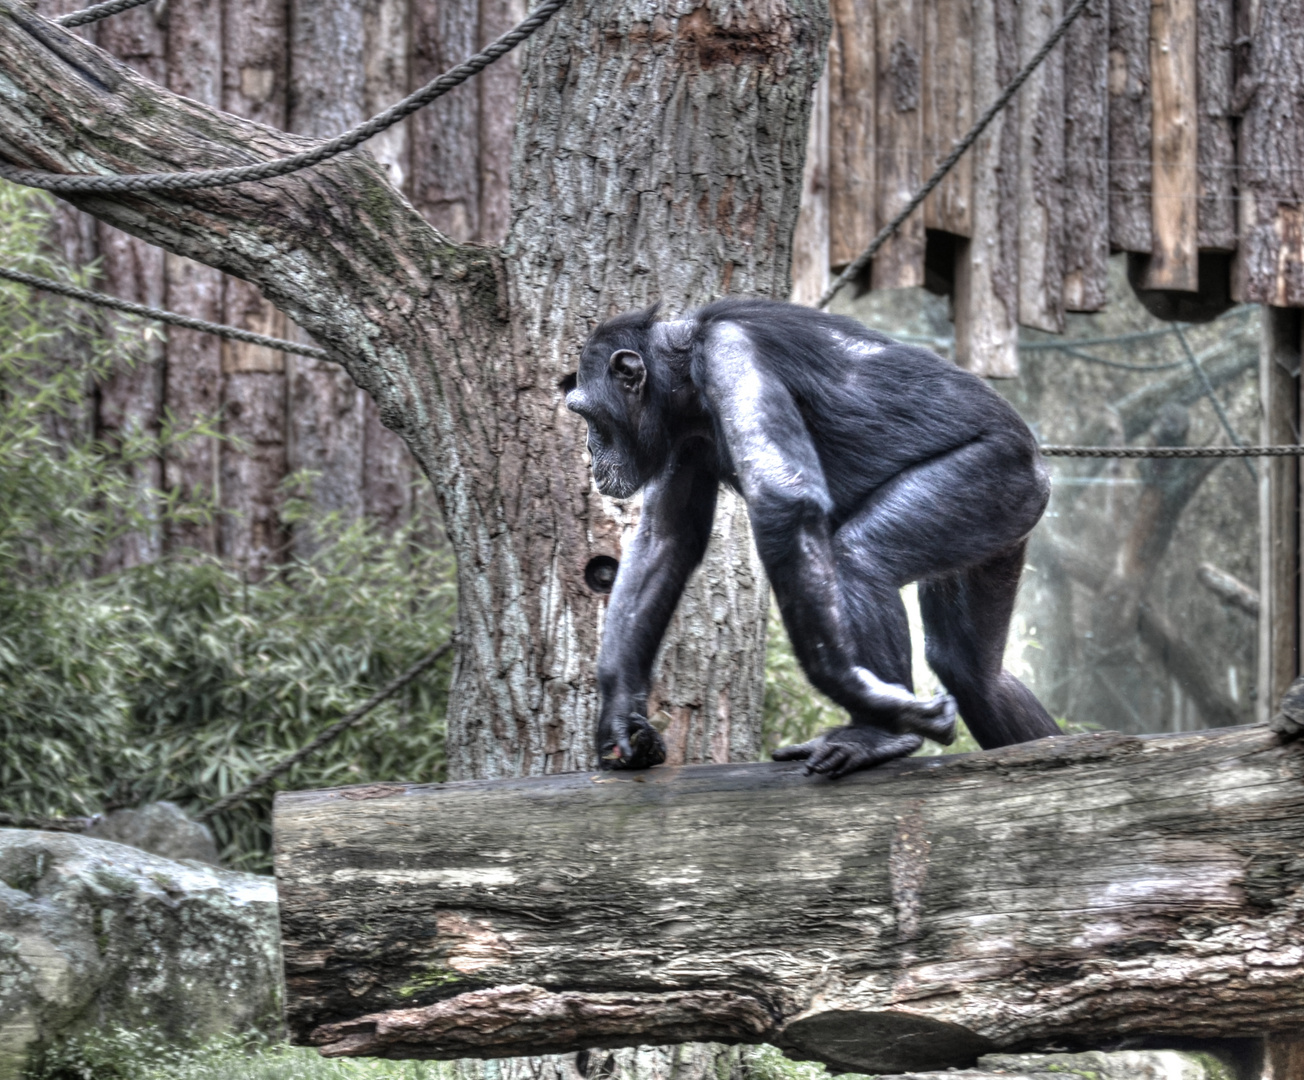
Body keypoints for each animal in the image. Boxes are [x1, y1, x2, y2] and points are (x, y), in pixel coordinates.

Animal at [565, 300, 1064, 782]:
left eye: (588, 416)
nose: (588, 450)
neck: (683, 371)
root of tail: (1040, 469)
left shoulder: (731, 355)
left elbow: (786, 500)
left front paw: (855, 686)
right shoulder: (680, 439)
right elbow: (664, 541)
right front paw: (619, 719)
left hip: (990, 475)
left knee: (861, 558)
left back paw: (878, 735)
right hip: (1001, 524)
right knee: (971, 670)